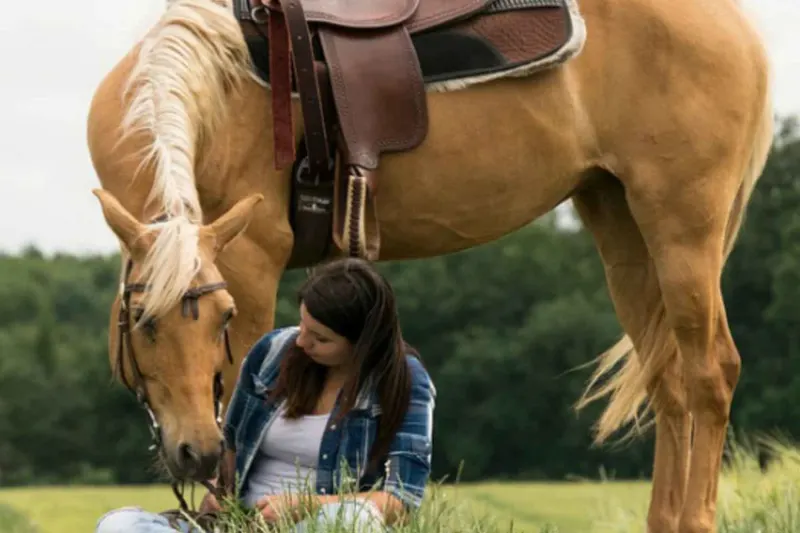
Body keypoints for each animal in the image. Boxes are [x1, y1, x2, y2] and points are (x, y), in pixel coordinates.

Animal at [85, 0, 773, 530]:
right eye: (141, 320)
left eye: (222, 317)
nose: (196, 453)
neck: (217, 89)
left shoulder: (253, 260)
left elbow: (240, 395)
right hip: (621, 223)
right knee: (669, 381)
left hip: (682, 226)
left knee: (711, 372)